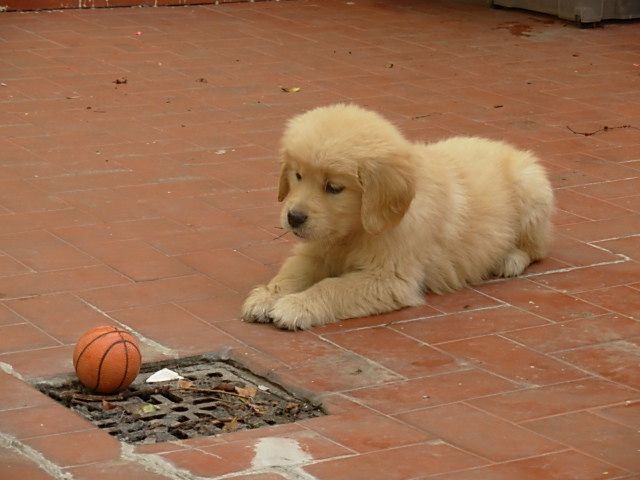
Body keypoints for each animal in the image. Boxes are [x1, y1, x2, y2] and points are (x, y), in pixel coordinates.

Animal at [242, 104, 552, 330]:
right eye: (297, 175)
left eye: (334, 187)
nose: (294, 218)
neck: (355, 230)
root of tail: (507, 146)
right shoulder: (315, 251)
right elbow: (292, 273)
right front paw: (267, 295)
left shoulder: (389, 278)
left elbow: (334, 286)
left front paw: (296, 306)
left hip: (531, 189)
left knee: (537, 249)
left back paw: (510, 259)